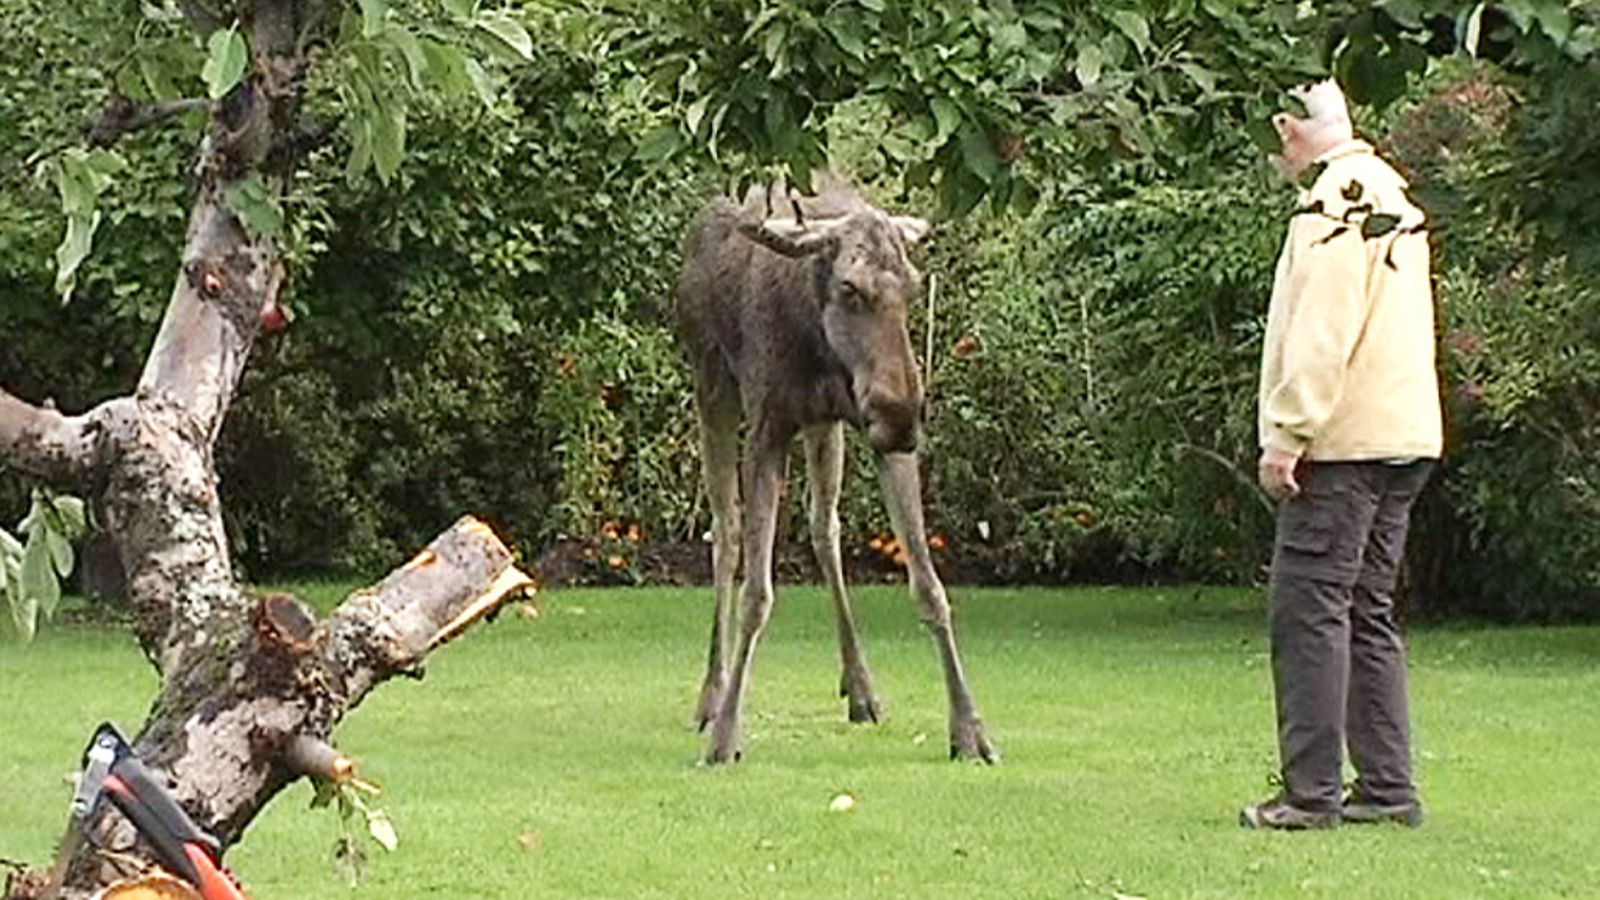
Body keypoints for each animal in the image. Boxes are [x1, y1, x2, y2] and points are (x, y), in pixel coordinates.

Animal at [678, 176, 998, 762]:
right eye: (850, 288)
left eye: (913, 288)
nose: (903, 413)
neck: (820, 343)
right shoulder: (768, 426)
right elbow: (758, 593)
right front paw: (727, 733)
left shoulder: (868, 433)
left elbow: (930, 586)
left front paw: (969, 730)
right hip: (711, 383)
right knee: (726, 529)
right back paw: (712, 695)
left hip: (824, 427)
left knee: (823, 525)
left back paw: (860, 685)